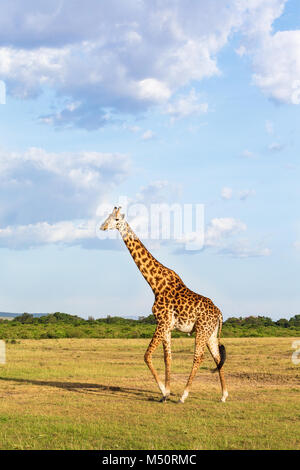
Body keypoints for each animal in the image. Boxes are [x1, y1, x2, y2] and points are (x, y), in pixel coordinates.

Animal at [99, 207, 229, 404]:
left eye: (116, 219)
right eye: (106, 217)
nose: (102, 227)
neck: (155, 284)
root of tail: (220, 314)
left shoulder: (162, 322)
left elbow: (147, 355)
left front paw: (163, 391)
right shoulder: (167, 327)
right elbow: (168, 358)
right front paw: (166, 393)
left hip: (201, 331)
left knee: (198, 357)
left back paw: (184, 395)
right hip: (211, 334)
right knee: (217, 357)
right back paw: (223, 395)